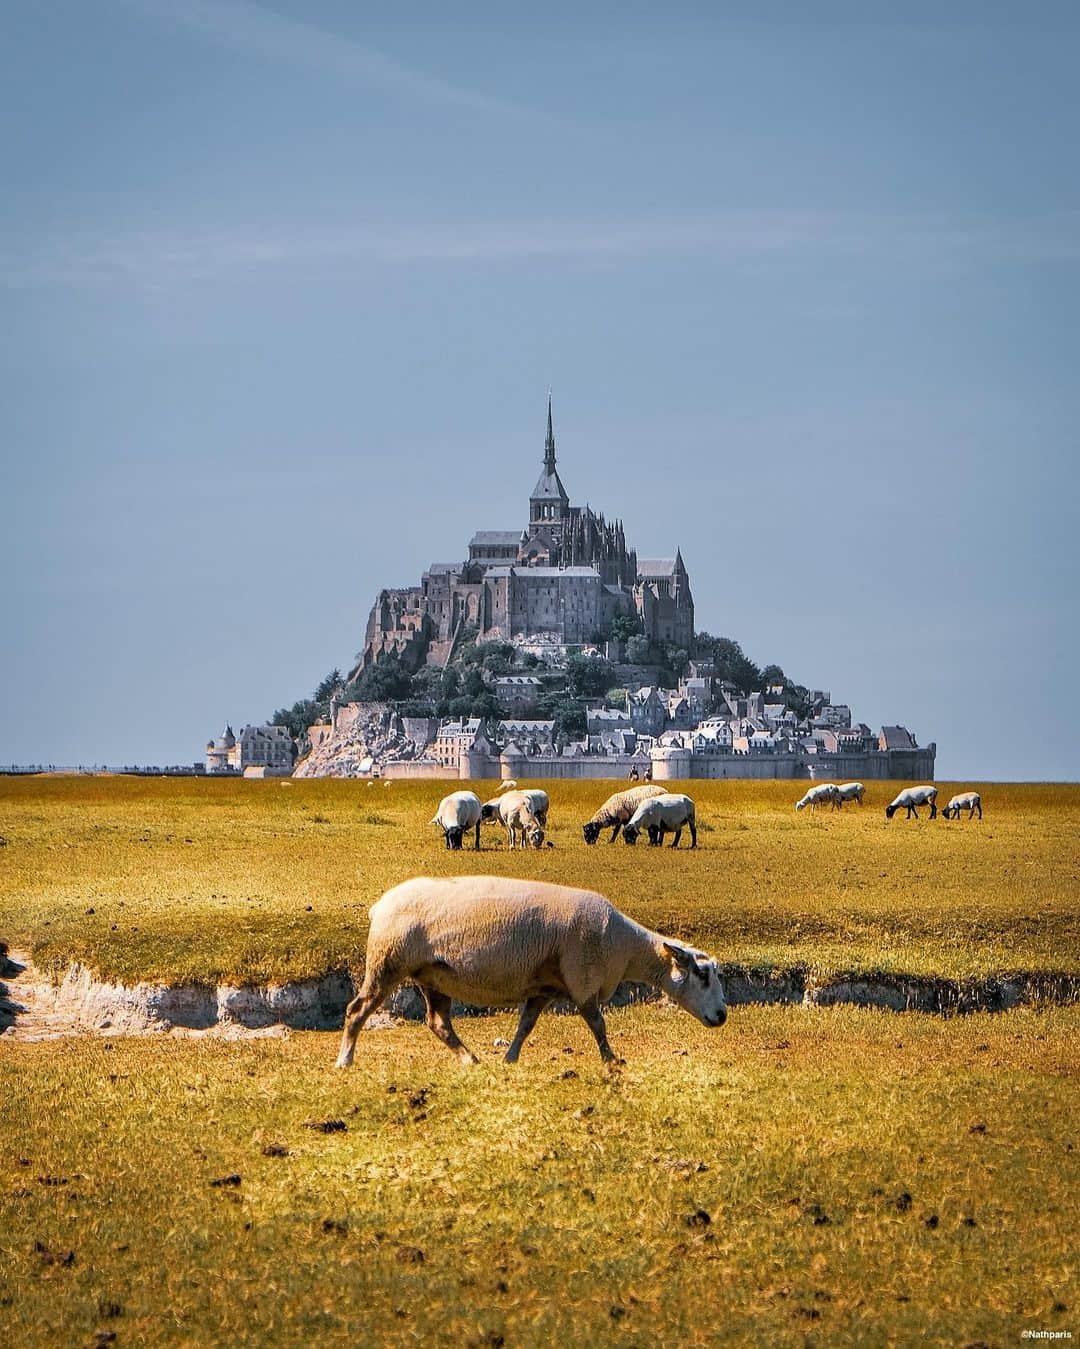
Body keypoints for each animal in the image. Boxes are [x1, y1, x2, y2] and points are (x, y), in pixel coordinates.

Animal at [335, 875, 727, 1069]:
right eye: (703, 975)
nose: (723, 1016)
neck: (623, 945)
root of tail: (378, 906)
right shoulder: (582, 979)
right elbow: (598, 1025)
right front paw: (612, 1059)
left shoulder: (544, 989)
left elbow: (525, 1025)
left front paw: (510, 1058)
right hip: (387, 962)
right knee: (356, 1010)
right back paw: (344, 1060)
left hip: (432, 975)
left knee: (438, 1023)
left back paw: (470, 1059)